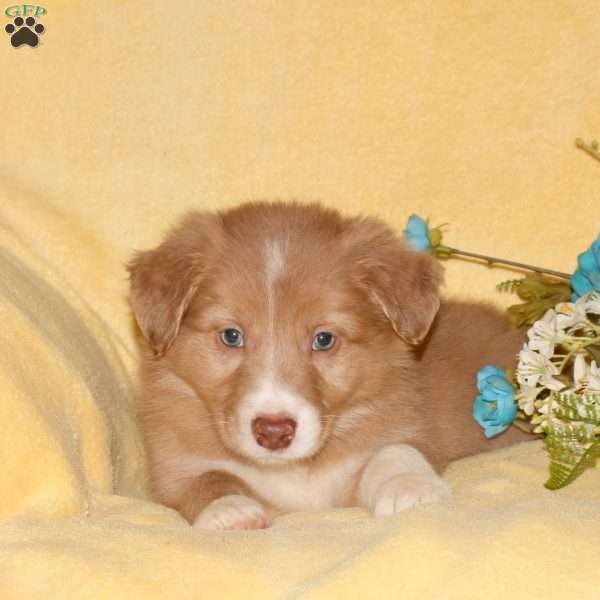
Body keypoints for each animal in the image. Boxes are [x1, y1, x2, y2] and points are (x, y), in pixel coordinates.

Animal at [129, 202, 528, 528]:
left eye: (323, 339)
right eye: (231, 335)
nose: (273, 432)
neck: (295, 471)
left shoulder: (403, 429)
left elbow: (395, 450)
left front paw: (410, 487)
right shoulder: (172, 465)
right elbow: (206, 478)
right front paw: (228, 509)